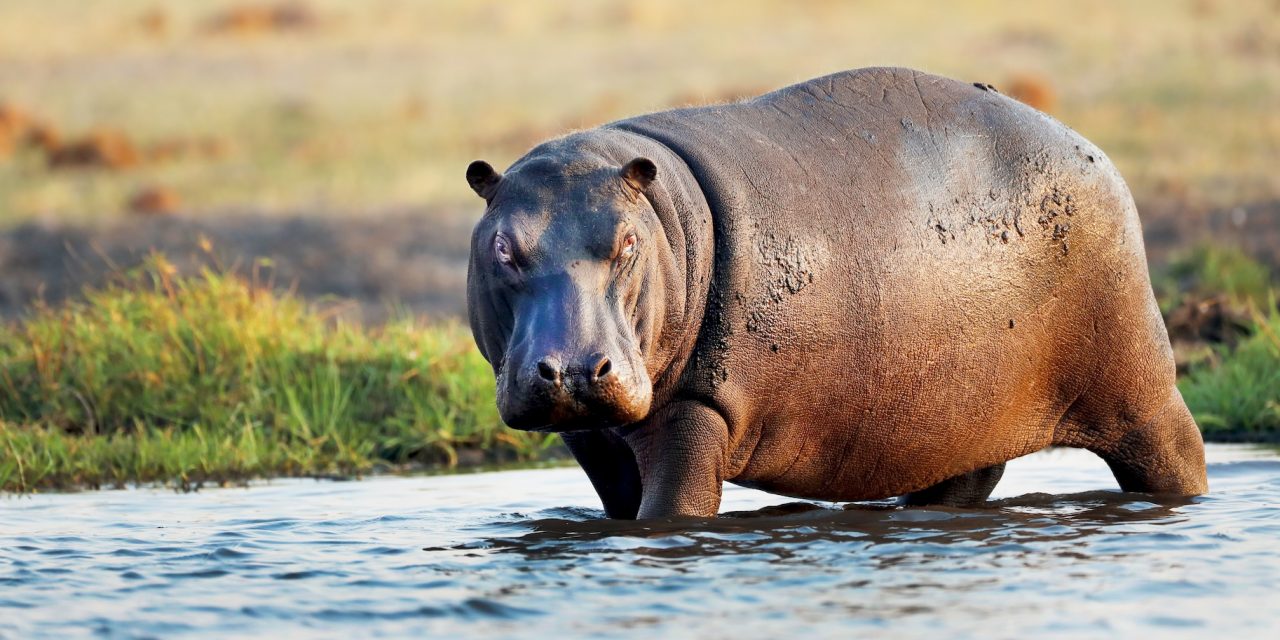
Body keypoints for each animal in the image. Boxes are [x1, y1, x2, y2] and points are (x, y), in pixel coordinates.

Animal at [464, 67, 1208, 519]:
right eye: (502, 247)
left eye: (626, 243)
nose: (573, 369)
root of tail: (1092, 149)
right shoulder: (591, 435)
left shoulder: (697, 408)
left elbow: (672, 510)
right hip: (965, 412)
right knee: (967, 478)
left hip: (1137, 385)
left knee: (1177, 451)